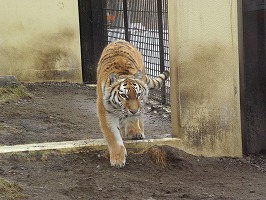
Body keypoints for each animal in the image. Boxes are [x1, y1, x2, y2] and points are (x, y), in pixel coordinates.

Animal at [96, 39, 169, 167]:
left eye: (138, 94)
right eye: (124, 96)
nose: (133, 111)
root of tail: (119, 40)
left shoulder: (138, 107)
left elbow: (133, 119)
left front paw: (134, 132)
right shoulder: (105, 111)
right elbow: (112, 135)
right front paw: (118, 159)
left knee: (140, 118)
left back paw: (139, 132)